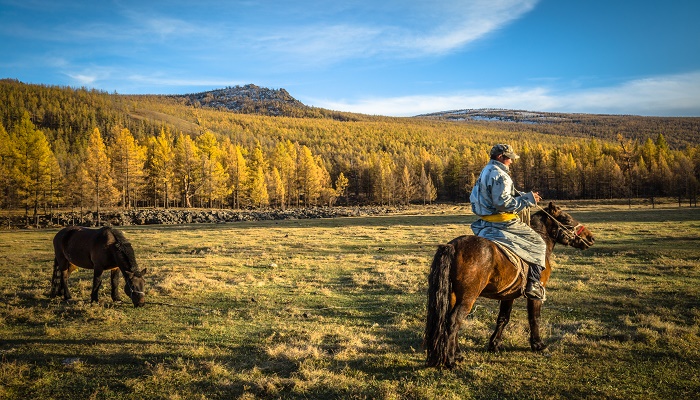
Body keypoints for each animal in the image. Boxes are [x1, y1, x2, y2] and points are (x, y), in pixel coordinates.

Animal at [424, 203, 592, 368]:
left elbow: (503, 319)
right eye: (567, 220)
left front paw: (494, 344)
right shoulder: (535, 296)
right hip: (467, 298)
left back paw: (457, 355)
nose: (590, 237)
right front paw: (538, 345)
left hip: (454, 296)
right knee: (453, 322)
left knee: (449, 321)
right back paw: (451, 360)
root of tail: (453, 246)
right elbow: (534, 318)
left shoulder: (508, 295)